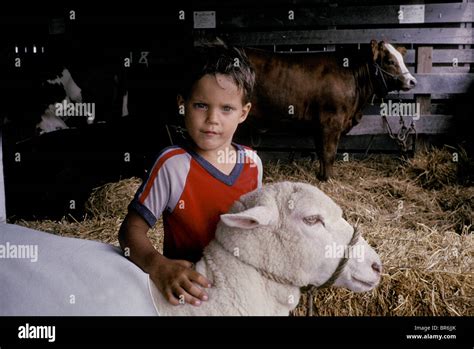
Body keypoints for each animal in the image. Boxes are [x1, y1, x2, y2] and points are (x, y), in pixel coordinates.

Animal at [246, 40, 416, 179]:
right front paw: (329, 178)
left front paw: (322, 176)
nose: (412, 81)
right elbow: (329, 153)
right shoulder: (331, 121)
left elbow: (321, 152)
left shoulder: (318, 125)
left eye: (402, 60)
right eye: (390, 61)